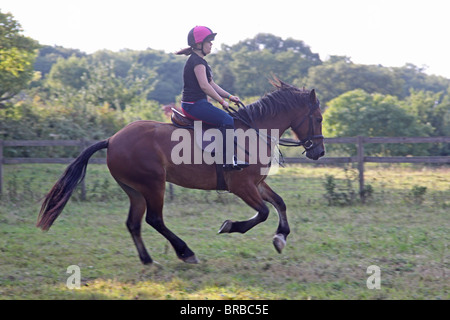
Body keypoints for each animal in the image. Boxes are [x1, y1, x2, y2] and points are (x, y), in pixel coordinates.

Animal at [35, 79, 324, 264]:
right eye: (319, 118)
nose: (319, 152)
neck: (254, 131)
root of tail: (113, 139)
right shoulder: (242, 186)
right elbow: (263, 212)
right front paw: (230, 226)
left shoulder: (257, 184)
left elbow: (280, 203)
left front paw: (281, 237)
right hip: (153, 185)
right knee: (155, 220)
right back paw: (186, 252)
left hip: (135, 190)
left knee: (134, 223)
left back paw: (148, 260)